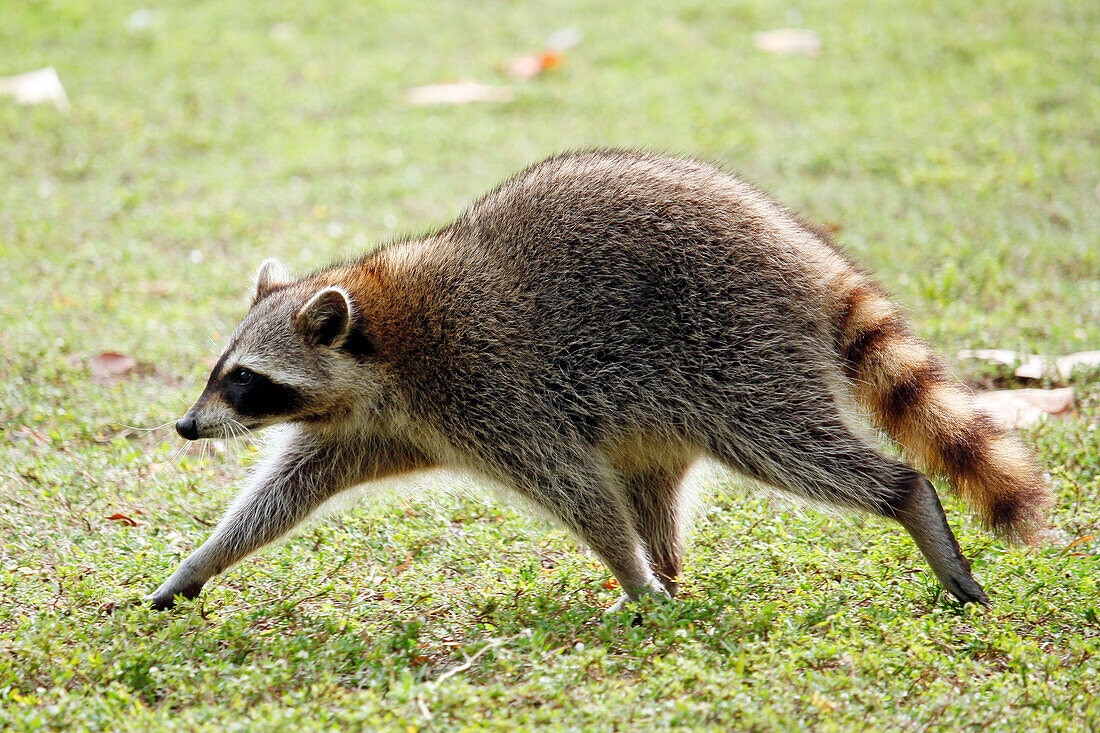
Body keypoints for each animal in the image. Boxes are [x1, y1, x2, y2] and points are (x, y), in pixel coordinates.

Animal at [146, 149, 1047, 611]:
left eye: (245, 381)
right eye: (219, 372)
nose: (187, 426)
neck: (384, 338)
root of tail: (807, 255)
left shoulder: (489, 389)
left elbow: (577, 489)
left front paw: (627, 571)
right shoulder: (371, 425)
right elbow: (282, 493)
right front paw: (201, 561)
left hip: (736, 350)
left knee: (792, 447)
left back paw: (900, 498)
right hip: (672, 404)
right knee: (653, 490)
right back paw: (670, 572)